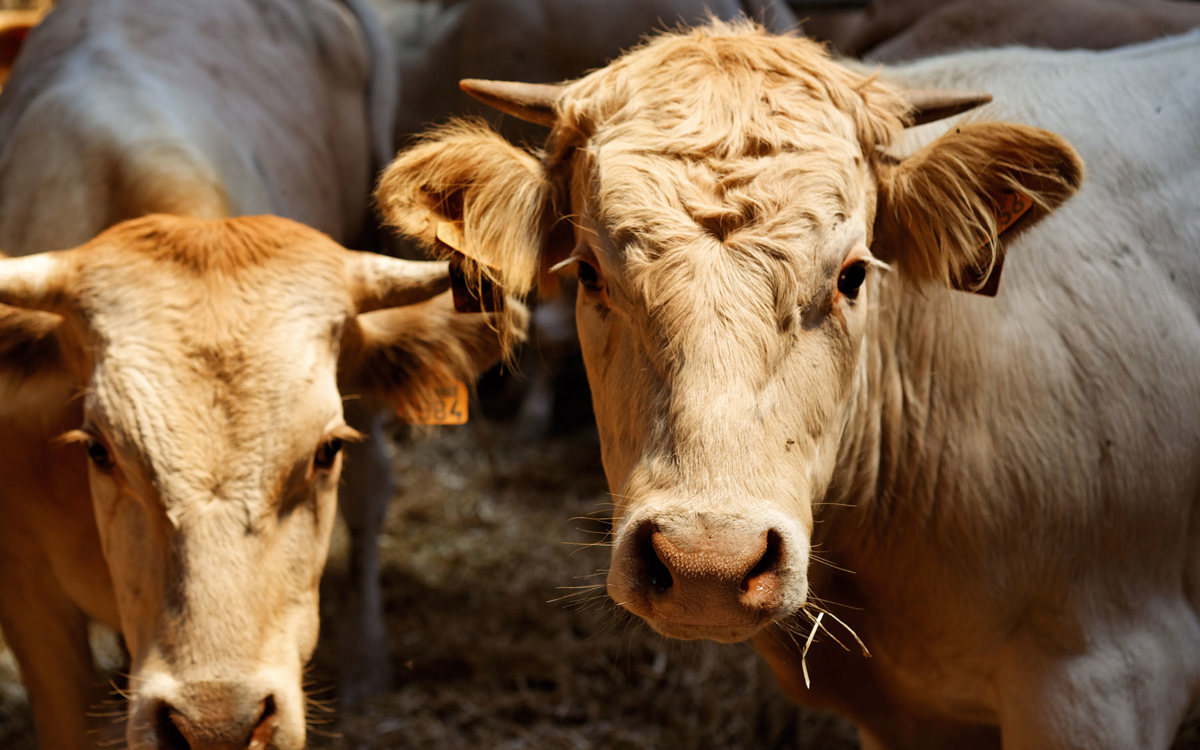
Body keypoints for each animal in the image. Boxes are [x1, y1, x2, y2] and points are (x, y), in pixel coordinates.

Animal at [0, 0, 522, 747]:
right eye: (99, 450)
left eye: (325, 450)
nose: (217, 723)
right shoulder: (27, 597)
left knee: (373, 493)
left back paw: (367, 658)